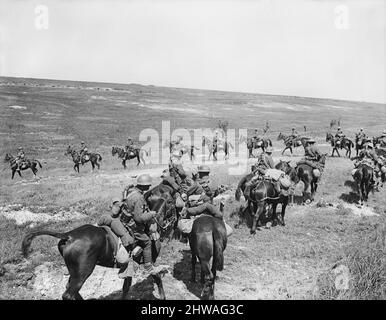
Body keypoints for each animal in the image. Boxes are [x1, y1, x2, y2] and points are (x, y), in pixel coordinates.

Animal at [21, 198, 172, 300]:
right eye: (172, 205)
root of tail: (69, 235)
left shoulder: (129, 266)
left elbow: (126, 287)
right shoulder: (149, 261)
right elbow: (157, 277)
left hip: (75, 272)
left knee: (71, 290)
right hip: (83, 272)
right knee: (68, 294)